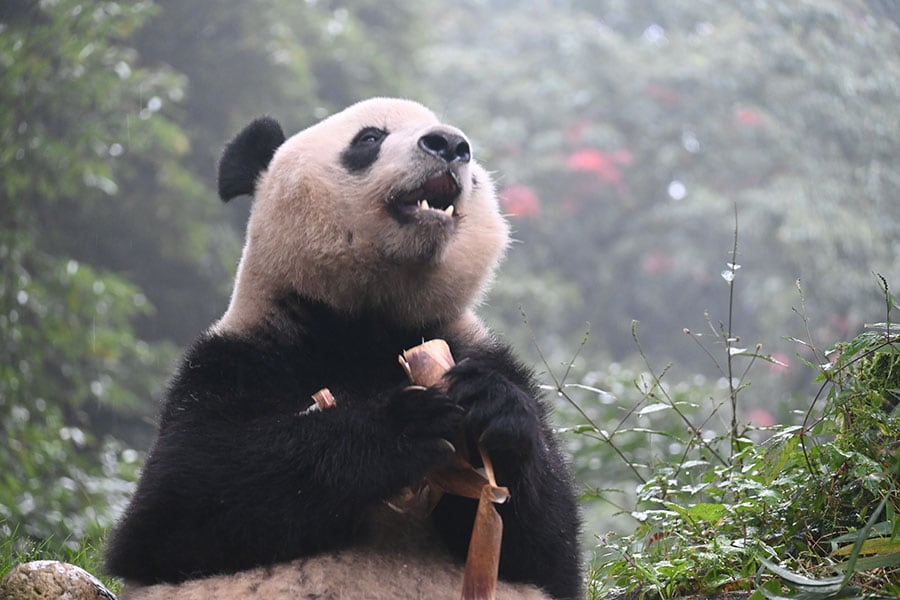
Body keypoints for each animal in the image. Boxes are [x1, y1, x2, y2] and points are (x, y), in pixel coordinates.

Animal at [105, 96, 584, 596]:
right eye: (369, 138)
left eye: (469, 159)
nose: (450, 144)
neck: (369, 320)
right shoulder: (237, 359)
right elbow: (175, 504)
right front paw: (403, 424)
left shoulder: (472, 347)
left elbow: (545, 548)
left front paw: (492, 404)